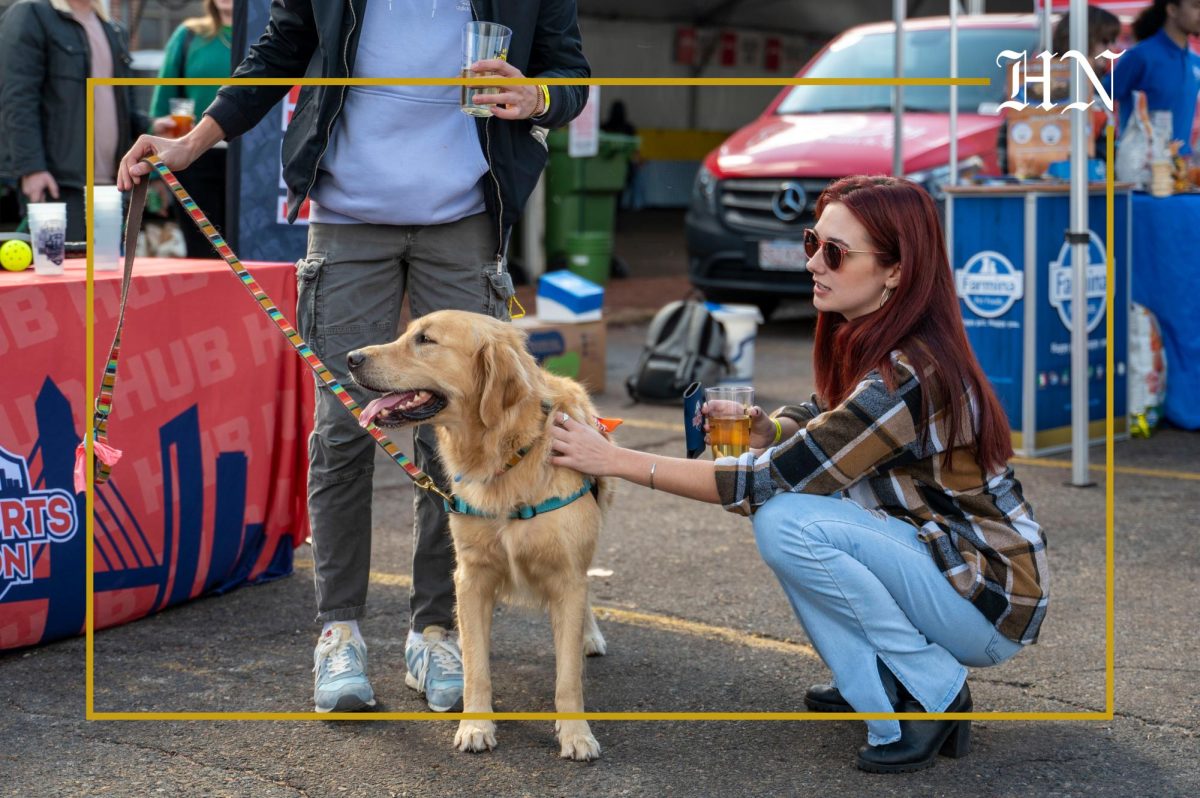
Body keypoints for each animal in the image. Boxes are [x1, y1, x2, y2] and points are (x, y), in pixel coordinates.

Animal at [345, 306, 609, 758]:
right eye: (407, 333)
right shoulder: (471, 577)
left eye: (425, 340)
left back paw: (589, 635)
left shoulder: (566, 573)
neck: (506, 455)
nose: (351, 358)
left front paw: (576, 734)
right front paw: (475, 726)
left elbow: (567, 675)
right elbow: (475, 666)